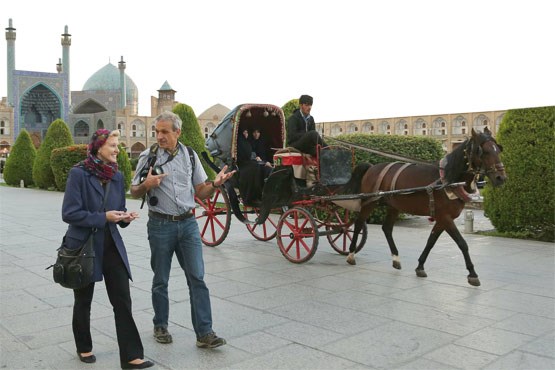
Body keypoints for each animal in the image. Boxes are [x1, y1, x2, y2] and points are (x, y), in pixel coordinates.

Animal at [348, 128, 508, 286]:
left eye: (498, 149)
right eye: (484, 151)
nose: (501, 178)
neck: (448, 180)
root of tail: (372, 167)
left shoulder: (442, 218)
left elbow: (431, 241)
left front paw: (420, 266)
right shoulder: (445, 217)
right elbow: (462, 243)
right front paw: (472, 273)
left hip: (394, 205)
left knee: (386, 228)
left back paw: (395, 258)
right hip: (369, 202)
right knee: (359, 223)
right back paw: (351, 254)